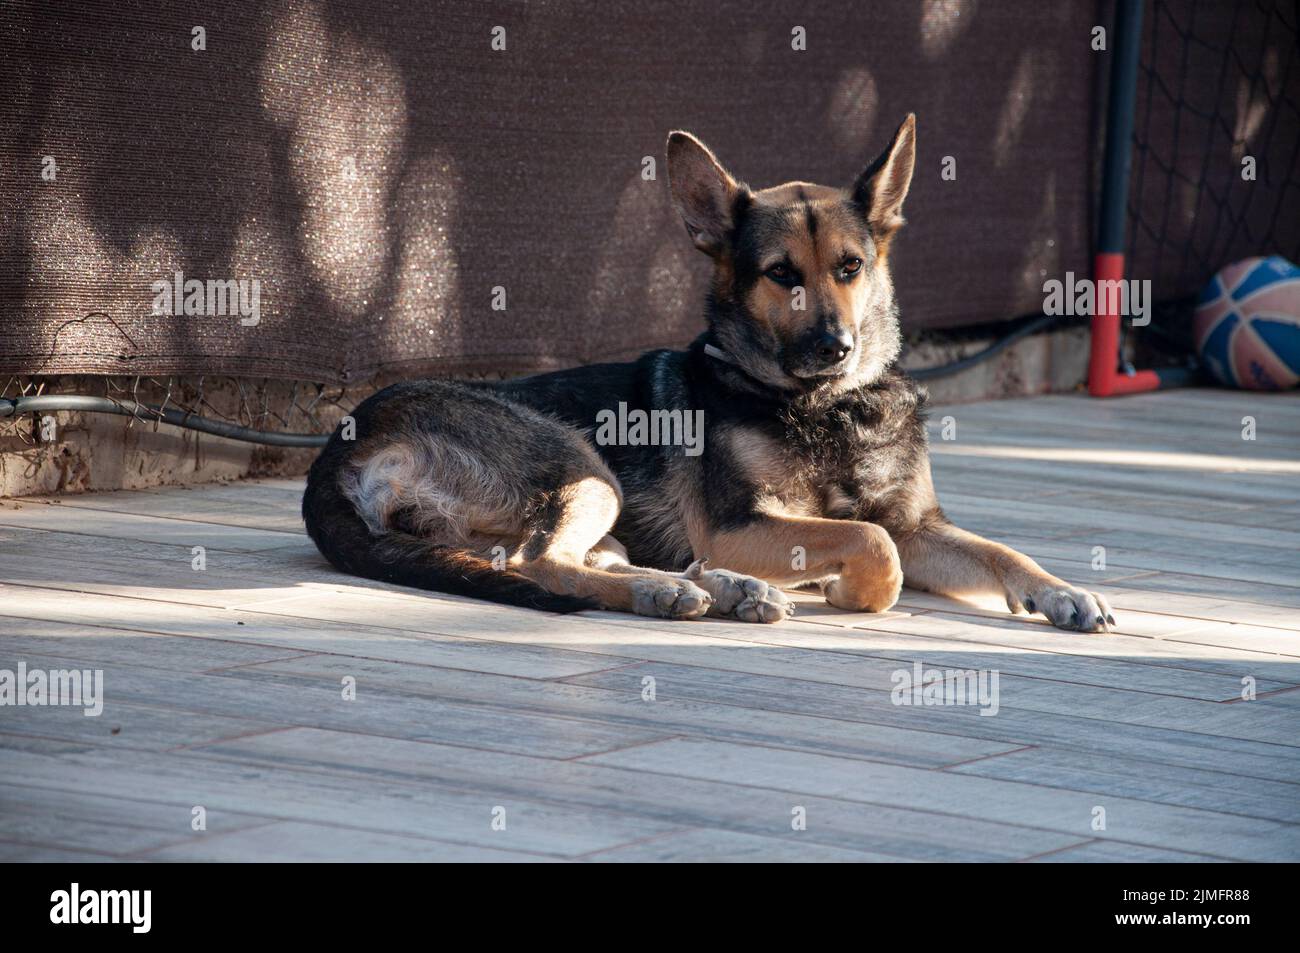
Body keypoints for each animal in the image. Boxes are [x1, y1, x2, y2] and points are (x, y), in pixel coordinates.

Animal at [301, 113, 1118, 631]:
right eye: (780, 274)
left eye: (851, 267)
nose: (835, 347)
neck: (821, 406)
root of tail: (338, 450)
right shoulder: (739, 525)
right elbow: (868, 542)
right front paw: (853, 593)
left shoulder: (919, 525)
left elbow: (994, 548)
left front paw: (1062, 593)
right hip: (583, 464)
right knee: (543, 564)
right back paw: (685, 594)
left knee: (563, 560)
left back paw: (723, 590)